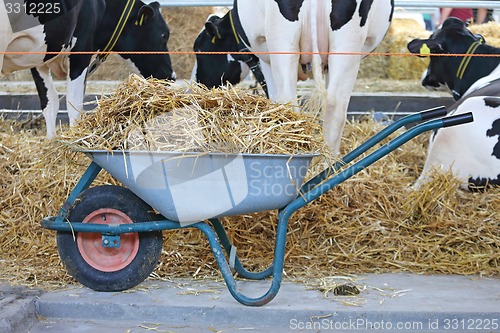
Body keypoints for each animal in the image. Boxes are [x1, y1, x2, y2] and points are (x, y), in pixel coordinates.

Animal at [0, 0, 175, 137]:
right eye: (164, 35)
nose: (171, 76)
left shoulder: (40, 56)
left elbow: (50, 102)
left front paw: (52, 143)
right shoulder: (81, 49)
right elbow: (74, 103)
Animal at [193, 0, 392, 154]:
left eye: (198, 50)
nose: (195, 85)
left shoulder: (265, 60)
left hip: (281, 38)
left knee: (289, 102)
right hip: (346, 45)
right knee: (335, 107)